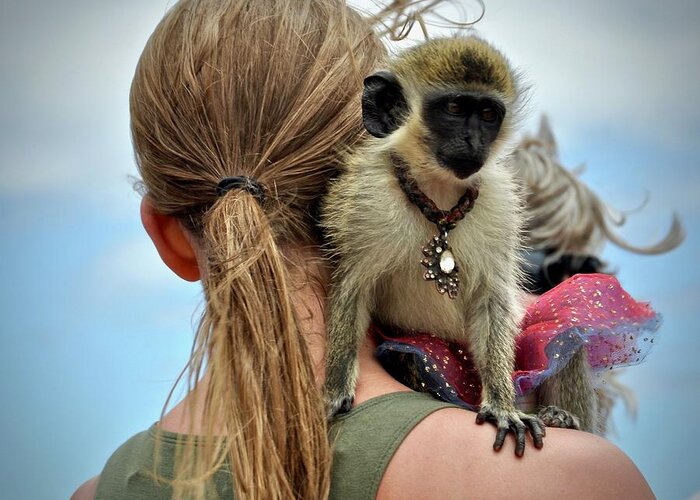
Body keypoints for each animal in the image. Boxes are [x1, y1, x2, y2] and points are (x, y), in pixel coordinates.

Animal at [322, 36, 548, 458]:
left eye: (488, 114)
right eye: (455, 109)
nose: (473, 142)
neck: (438, 193)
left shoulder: (500, 204)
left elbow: (491, 301)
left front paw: (502, 403)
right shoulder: (367, 201)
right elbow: (353, 288)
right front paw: (334, 388)